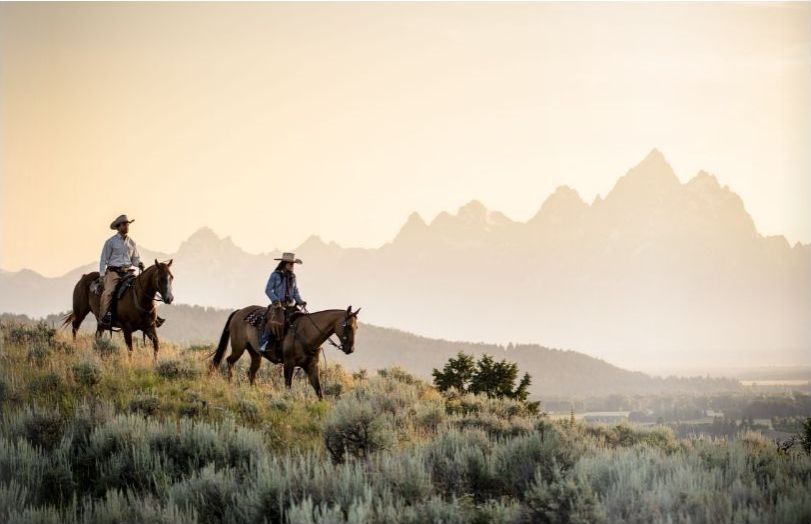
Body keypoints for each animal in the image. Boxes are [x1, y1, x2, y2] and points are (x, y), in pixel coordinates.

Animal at [211, 304, 360, 400]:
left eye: (356, 327)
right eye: (347, 326)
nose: (350, 349)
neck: (306, 333)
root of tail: (239, 311)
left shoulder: (311, 366)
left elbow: (318, 390)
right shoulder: (289, 363)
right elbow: (288, 385)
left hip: (255, 353)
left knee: (251, 372)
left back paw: (253, 391)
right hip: (238, 347)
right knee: (230, 361)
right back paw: (230, 383)